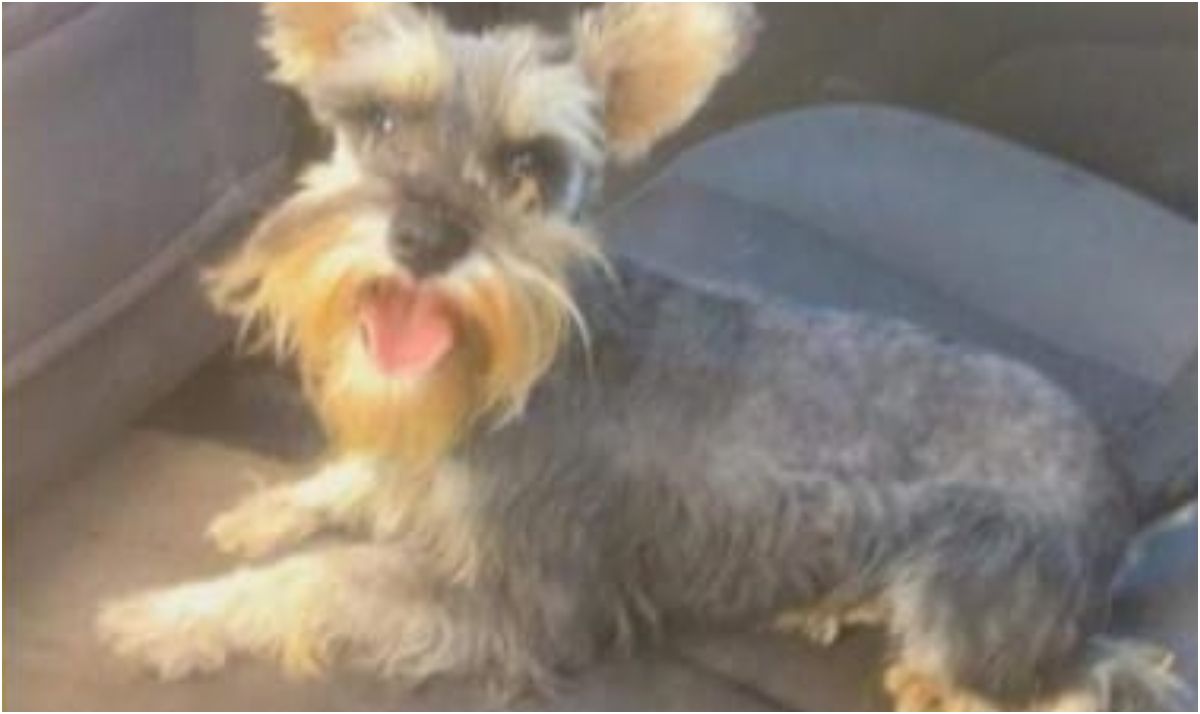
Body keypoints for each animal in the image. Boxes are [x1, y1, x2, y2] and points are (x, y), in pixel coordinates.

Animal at [97, 4, 1189, 710]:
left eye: (528, 167)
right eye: (381, 120)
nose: (424, 238)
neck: (511, 369)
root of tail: (1124, 483)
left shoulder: (529, 602)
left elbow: (331, 578)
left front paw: (171, 616)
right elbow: (356, 479)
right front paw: (267, 510)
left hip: (973, 589)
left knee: (1080, 680)